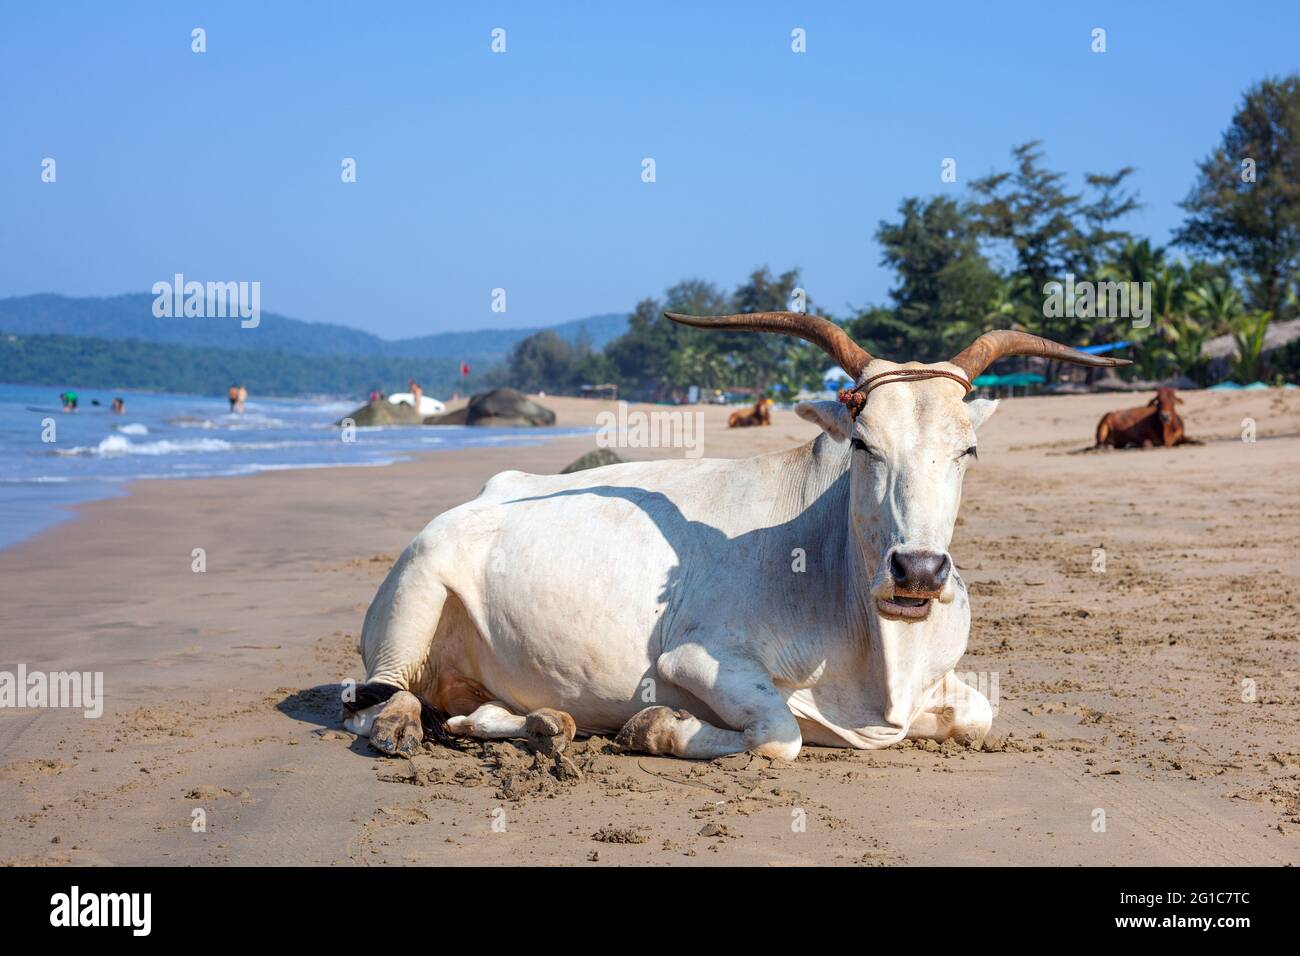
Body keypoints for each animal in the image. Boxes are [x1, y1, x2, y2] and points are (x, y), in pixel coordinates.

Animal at [345, 316, 1128, 764]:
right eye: (864, 444)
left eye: (968, 450)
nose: (919, 571)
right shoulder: (694, 657)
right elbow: (780, 737)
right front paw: (650, 727)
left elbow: (978, 716)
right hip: (418, 584)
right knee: (378, 696)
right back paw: (403, 728)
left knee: (468, 709)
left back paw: (542, 724)